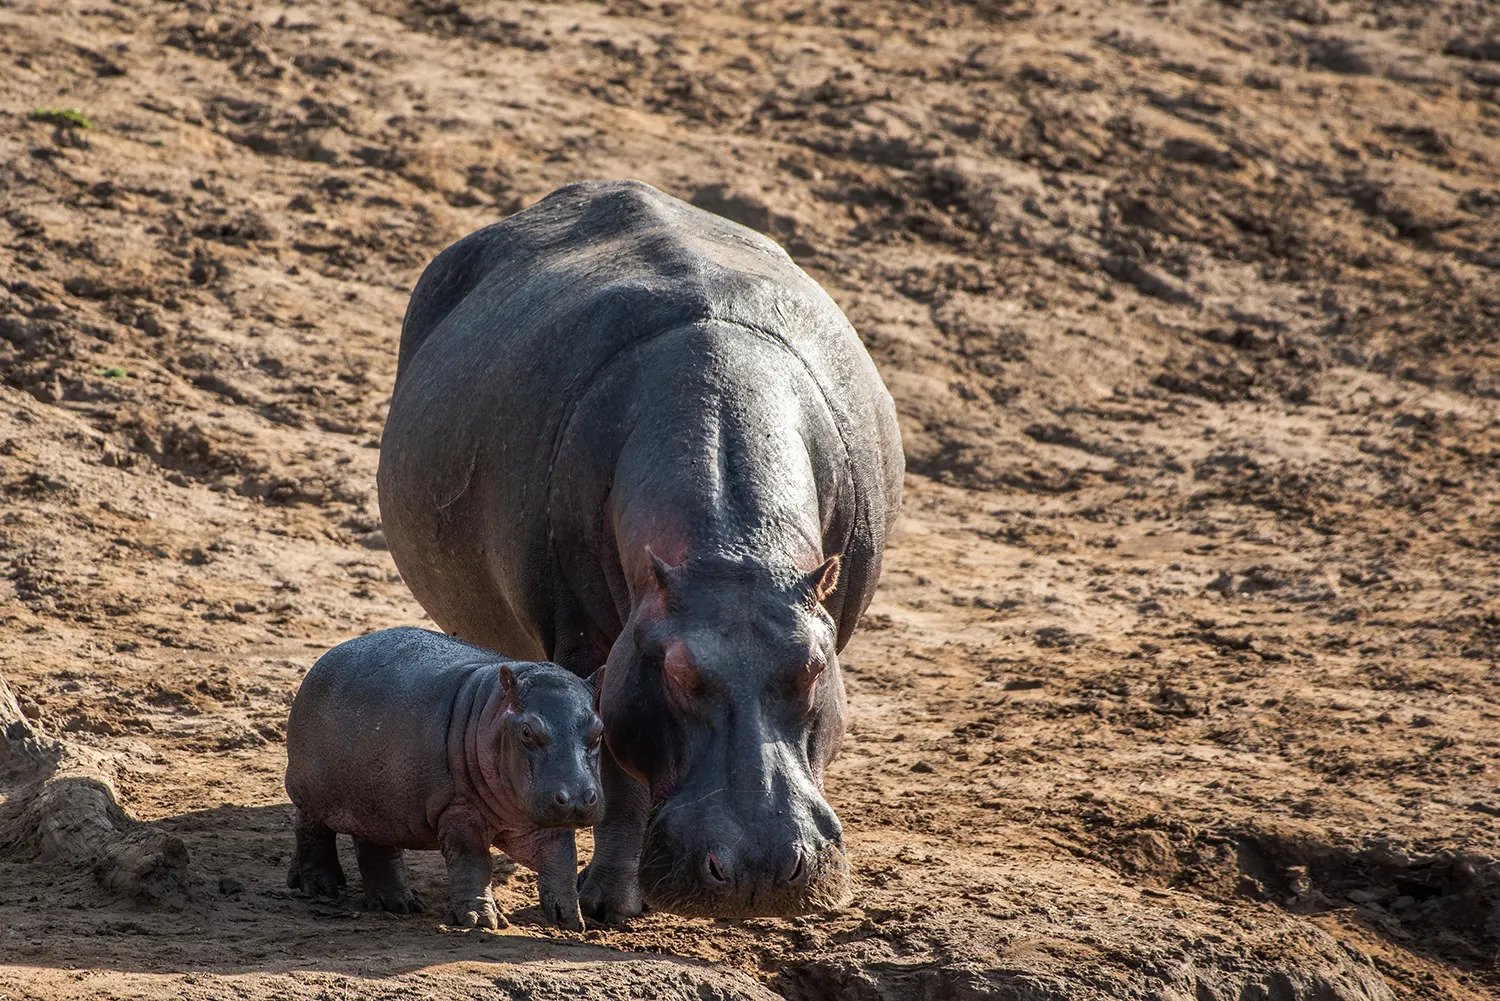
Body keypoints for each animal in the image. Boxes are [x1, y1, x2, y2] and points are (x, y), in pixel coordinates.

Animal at [286, 627, 603, 930]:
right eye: (526, 731)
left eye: (600, 730)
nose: (577, 799)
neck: (492, 713)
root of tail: (327, 657)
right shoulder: (458, 809)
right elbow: (473, 862)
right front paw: (479, 919)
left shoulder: (541, 816)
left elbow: (562, 857)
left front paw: (570, 920)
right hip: (311, 792)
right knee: (311, 830)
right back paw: (319, 887)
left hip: (376, 800)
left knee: (375, 847)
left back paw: (397, 904)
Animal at [381, 182, 906, 924]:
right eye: (678, 672)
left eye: (813, 667)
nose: (760, 870)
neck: (735, 553)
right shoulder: (593, 646)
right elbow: (617, 780)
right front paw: (608, 901)